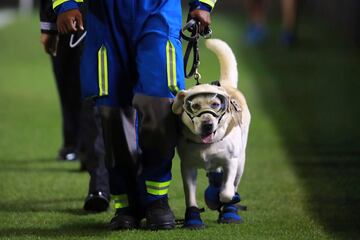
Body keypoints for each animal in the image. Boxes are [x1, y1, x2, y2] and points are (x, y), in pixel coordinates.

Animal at [172, 38, 250, 228]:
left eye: (216, 104)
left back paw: (229, 211)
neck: (206, 145)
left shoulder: (231, 162)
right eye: (194, 106)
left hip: (241, 161)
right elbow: (190, 196)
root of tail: (227, 85)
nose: (207, 124)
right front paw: (193, 219)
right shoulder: (187, 167)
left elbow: (227, 193)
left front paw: (220, 200)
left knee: (232, 184)